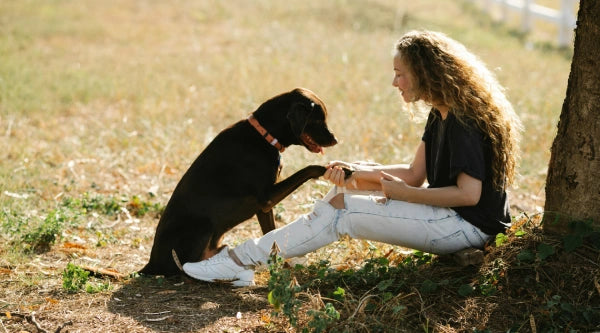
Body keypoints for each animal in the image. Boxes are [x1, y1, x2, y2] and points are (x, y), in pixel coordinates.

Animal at [138, 87, 340, 274]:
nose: (336, 140)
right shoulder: (267, 197)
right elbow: (309, 169)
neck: (263, 135)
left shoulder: (264, 207)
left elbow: (272, 236)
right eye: (317, 120)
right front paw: (335, 169)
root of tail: (150, 264)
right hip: (203, 227)